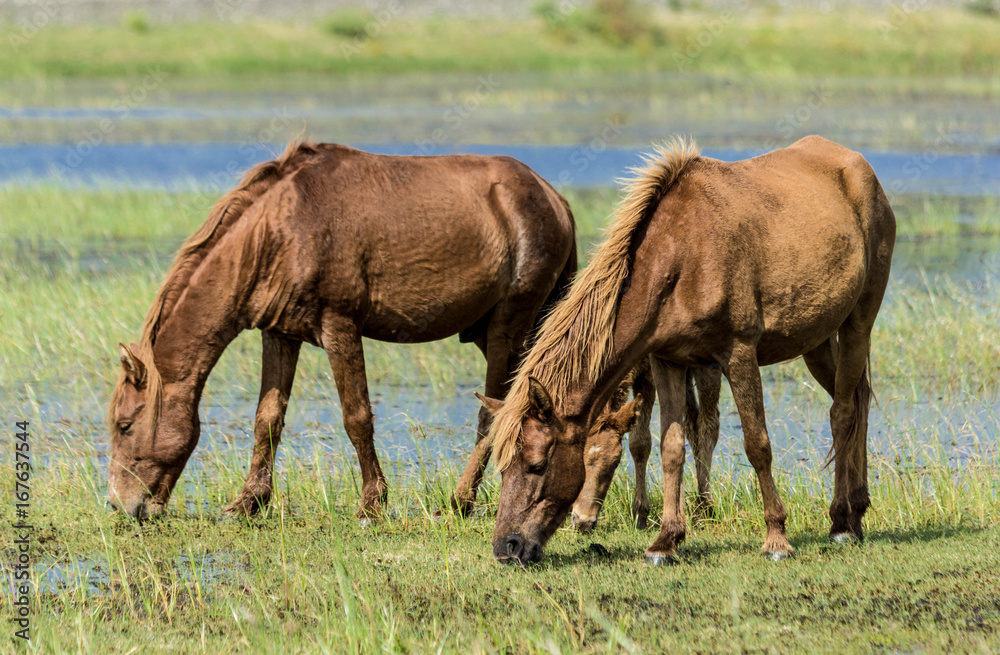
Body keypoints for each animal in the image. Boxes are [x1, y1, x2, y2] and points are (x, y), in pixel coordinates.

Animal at [104, 141, 576, 520]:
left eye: (125, 426)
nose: (119, 505)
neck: (280, 229)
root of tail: (552, 196)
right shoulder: (281, 335)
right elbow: (267, 420)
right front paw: (249, 501)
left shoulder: (339, 327)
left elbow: (357, 418)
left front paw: (372, 502)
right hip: (491, 332)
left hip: (507, 329)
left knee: (493, 411)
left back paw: (461, 500)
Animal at [480, 136, 896, 568]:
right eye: (501, 465)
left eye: (537, 465)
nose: (507, 547)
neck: (682, 256)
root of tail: (858, 165)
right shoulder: (668, 361)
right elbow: (671, 448)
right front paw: (665, 541)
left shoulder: (738, 354)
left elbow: (757, 445)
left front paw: (776, 538)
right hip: (817, 340)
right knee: (859, 398)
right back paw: (858, 511)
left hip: (858, 322)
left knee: (843, 413)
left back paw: (842, 523)